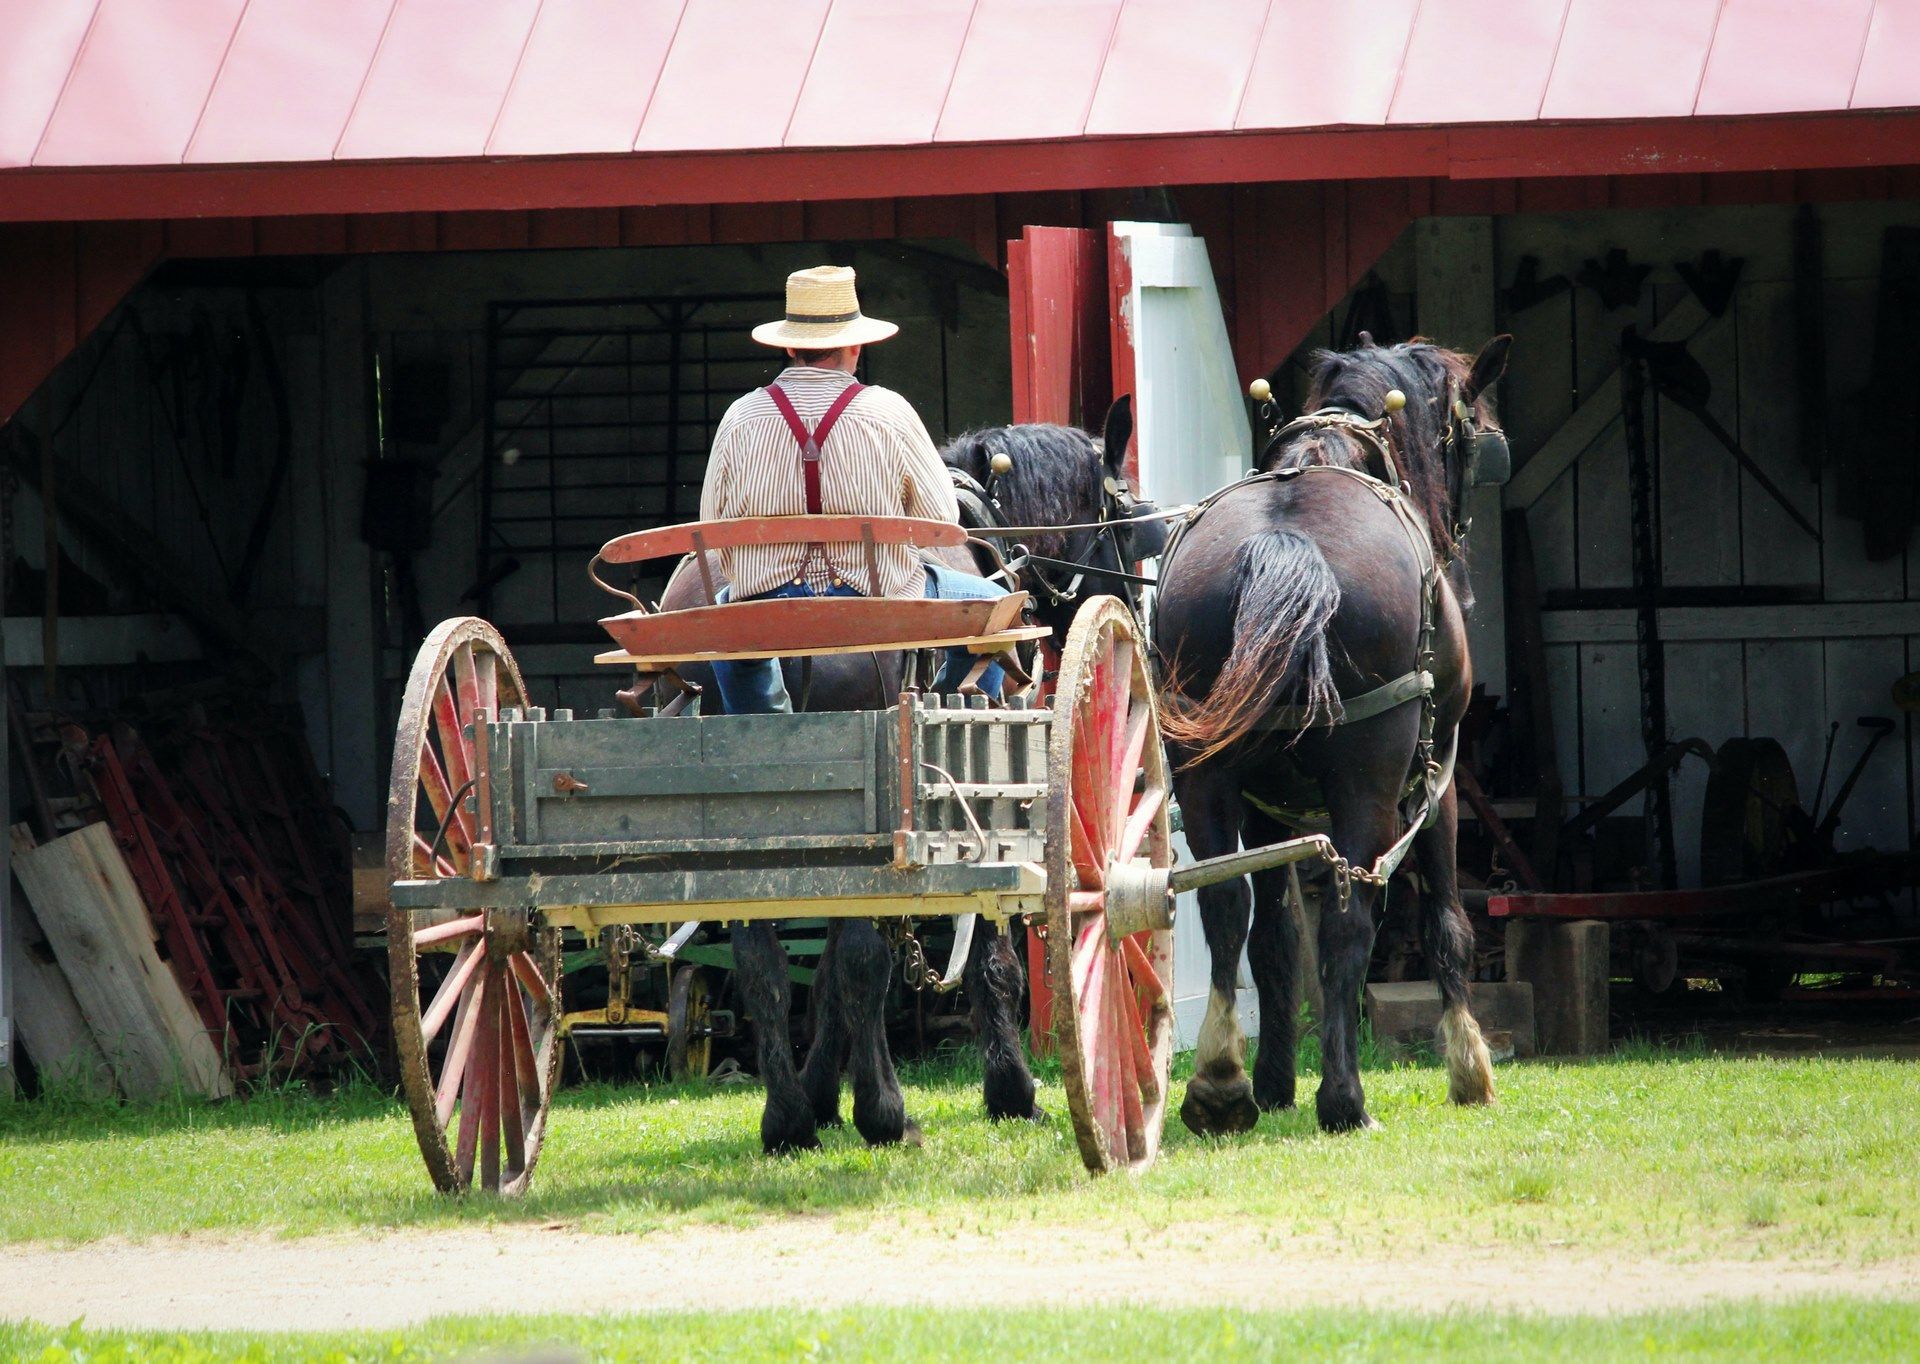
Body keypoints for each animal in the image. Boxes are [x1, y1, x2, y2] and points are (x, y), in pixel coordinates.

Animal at [1152, 336, 1512, 1137]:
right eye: (1476, 435)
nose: (1469, 586)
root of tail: (1285, 542)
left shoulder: (1265, 808)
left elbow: (1274, 936)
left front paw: (1273, 1080)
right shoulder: (1437, 780)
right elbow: (1446, 921)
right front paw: (1468, 1068)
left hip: (1207, 777)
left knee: (1226, 909)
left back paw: (1221, 1083)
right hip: (1370, 783)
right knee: (1350, 919)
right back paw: (1345, 1099)